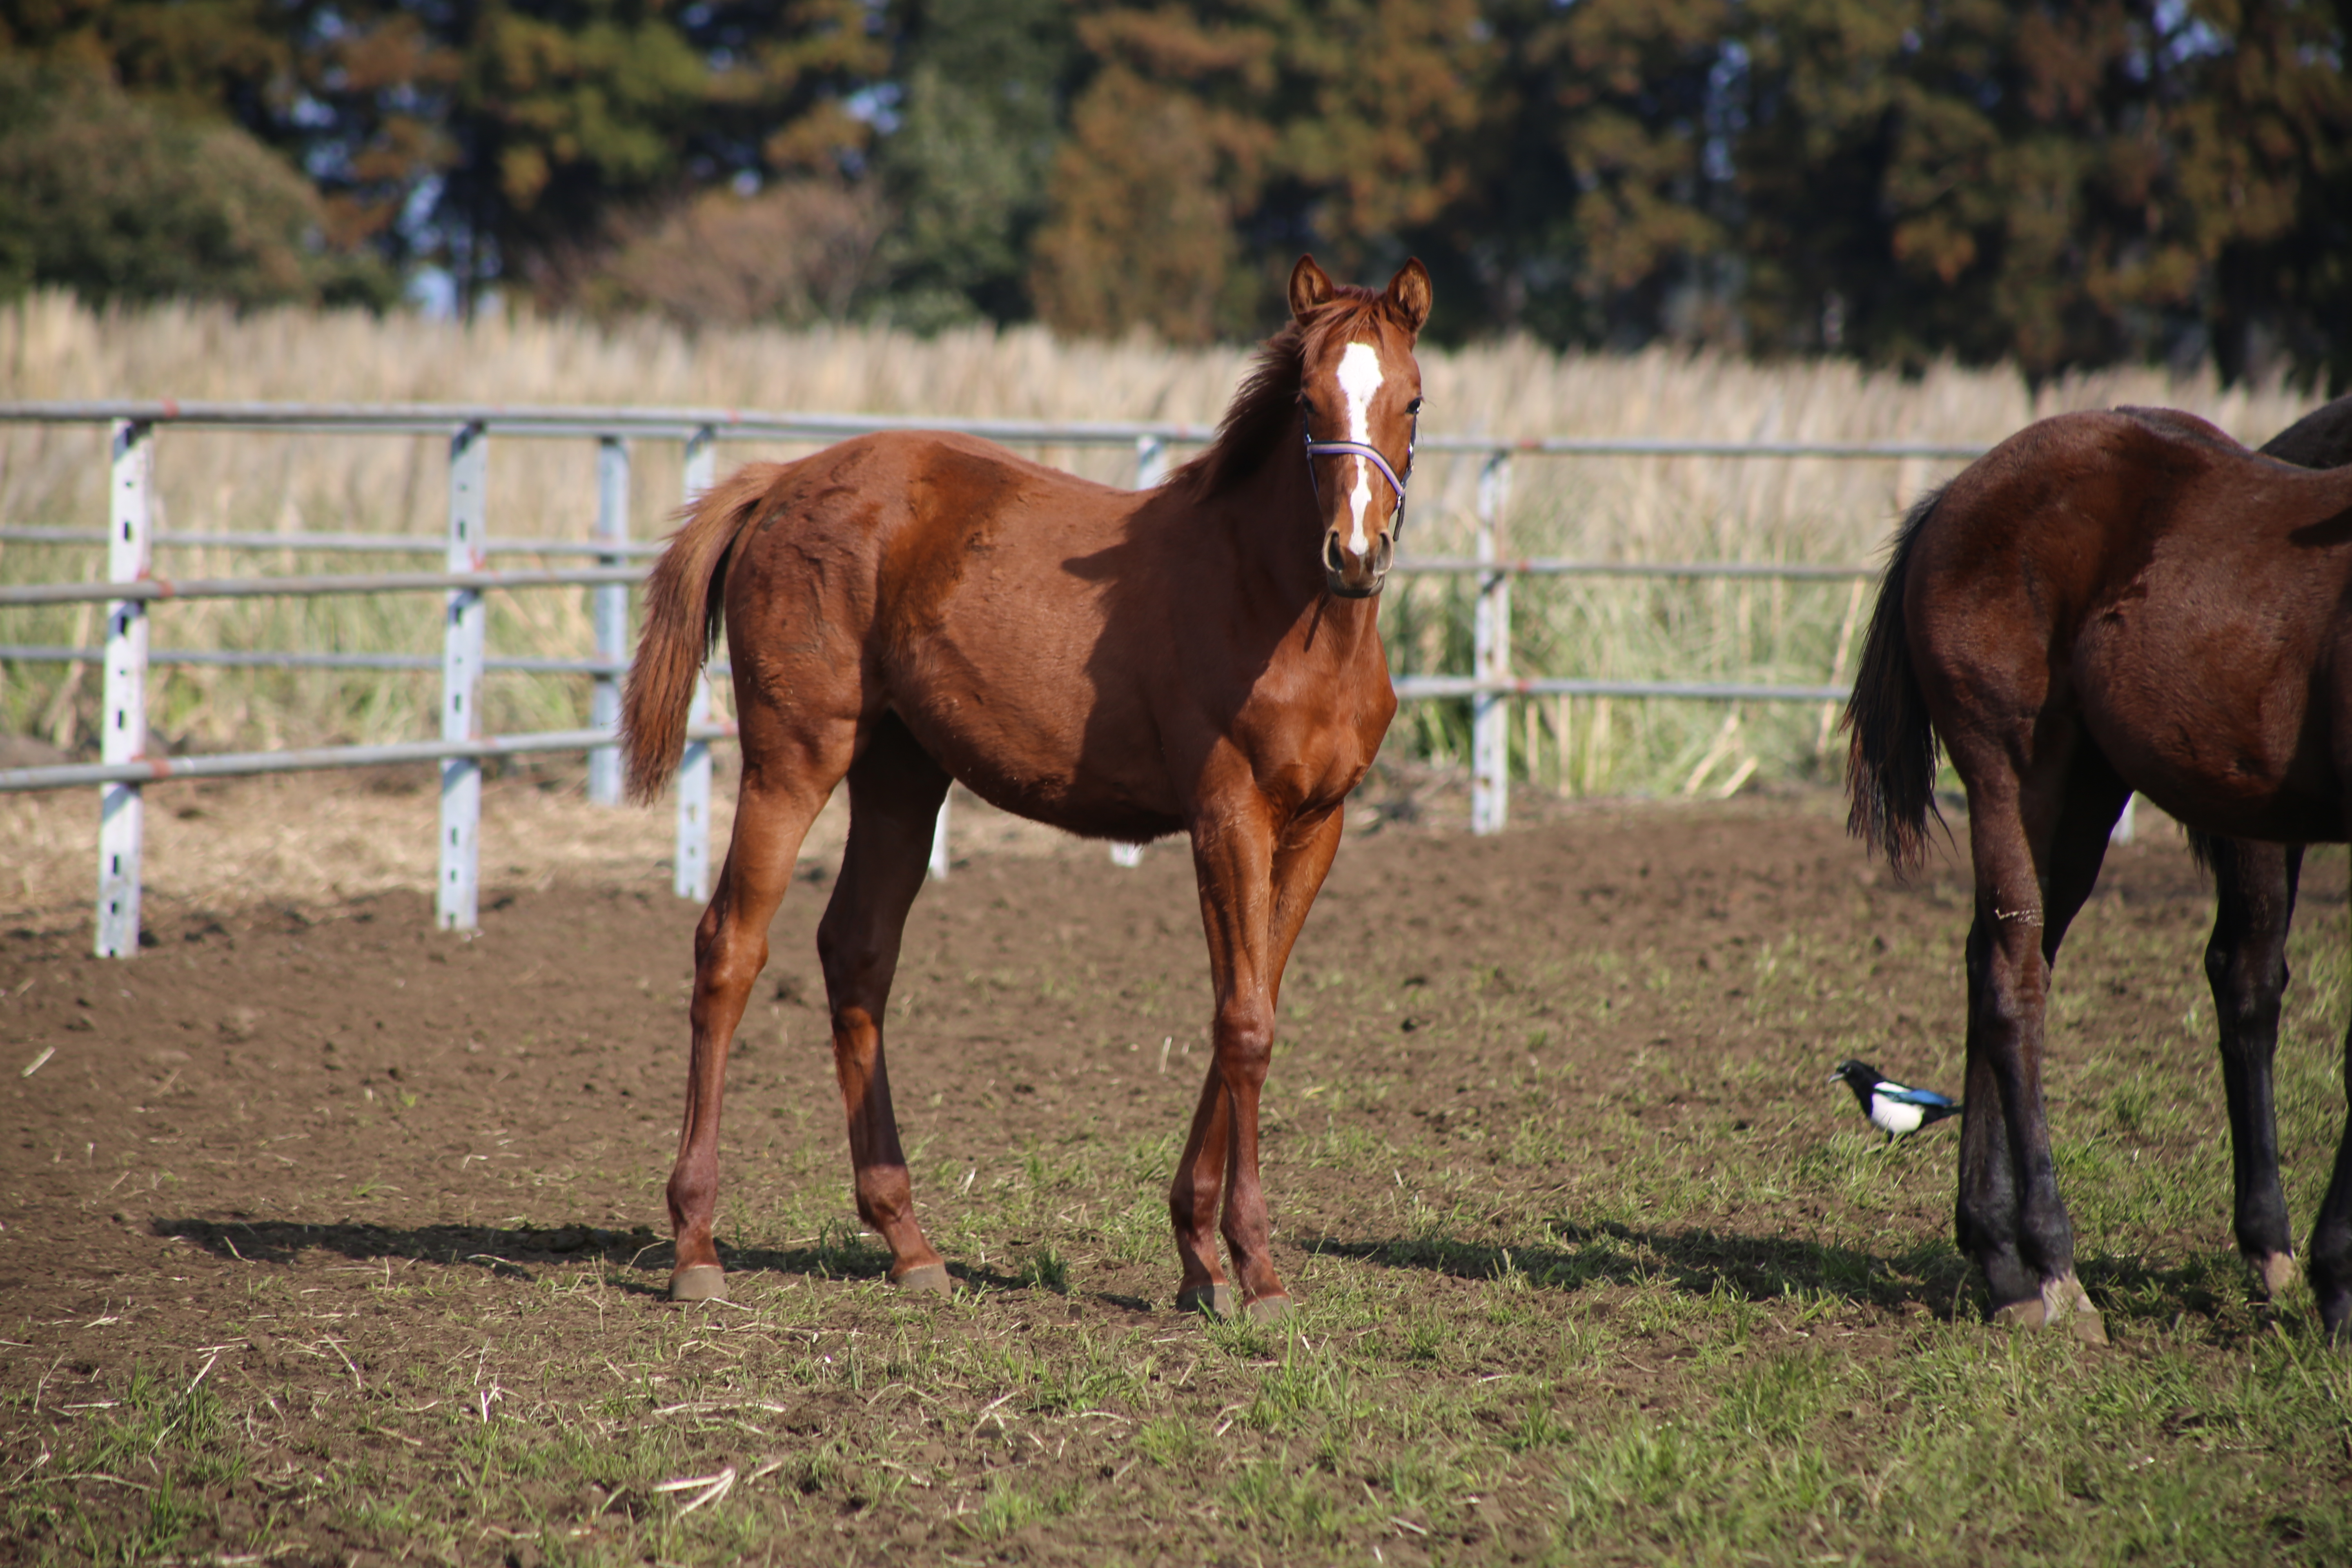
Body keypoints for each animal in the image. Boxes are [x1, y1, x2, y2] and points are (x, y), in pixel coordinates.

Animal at [1844, 399, 2352, 1345]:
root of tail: (1958, 494)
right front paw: (2339, 1281)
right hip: (2020, 775)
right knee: (2015, 981)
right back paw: (2047, 1265)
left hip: (2093, 790)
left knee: (2002, 961)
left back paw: (2000, 1255)